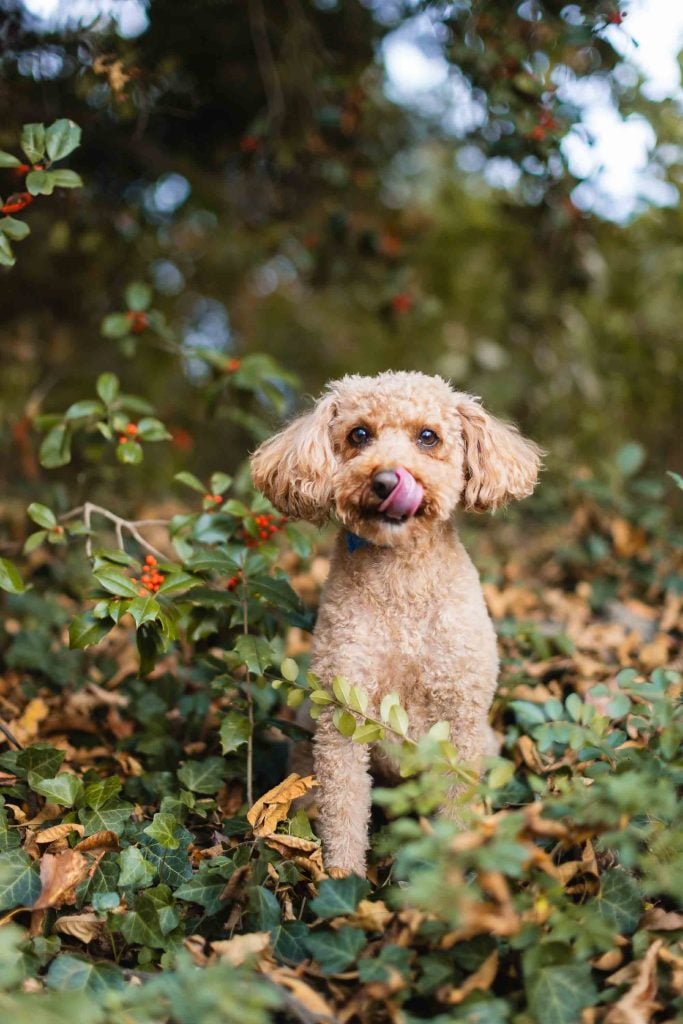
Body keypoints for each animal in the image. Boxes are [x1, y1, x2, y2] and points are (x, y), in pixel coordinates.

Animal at [248, 372, 540, 876]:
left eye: (428, 436)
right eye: (359, 434)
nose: (387, 479)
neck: (402, 580)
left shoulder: (460, 714)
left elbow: (457, 801)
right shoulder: (343, 714)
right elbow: (344, 808)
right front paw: (342, 878)